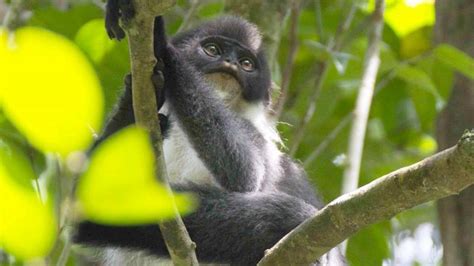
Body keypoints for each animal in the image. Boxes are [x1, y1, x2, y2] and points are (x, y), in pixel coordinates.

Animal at [75, 1, 348, 264]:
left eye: (246, 63)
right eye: (213, 50)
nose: (231, 63)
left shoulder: (254, 135)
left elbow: (247, 173)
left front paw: (159, 42)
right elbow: (88, 200)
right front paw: (137, 98)